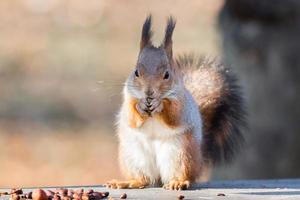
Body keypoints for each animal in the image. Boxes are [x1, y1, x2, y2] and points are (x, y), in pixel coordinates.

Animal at [106, 16, 246, 191]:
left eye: (167, 75)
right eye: (136, 72)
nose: (149, 93)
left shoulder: (182, 105)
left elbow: (174, 116)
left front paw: (160, 105)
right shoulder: (128, 97)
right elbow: (131, 117)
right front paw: (140, 106)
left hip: (180, 155)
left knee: (182, 175)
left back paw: (178, 182)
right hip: (133, 156)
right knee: (144, 179)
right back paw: (129, 182)